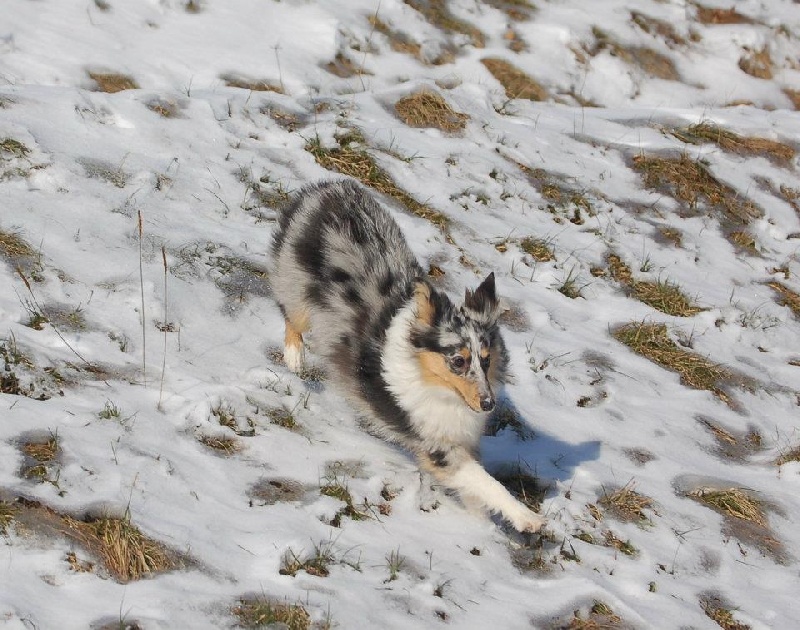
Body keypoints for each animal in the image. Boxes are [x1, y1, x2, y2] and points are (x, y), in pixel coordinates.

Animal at [272, 180, 548, 536]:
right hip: (298, 285)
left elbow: (475, 491)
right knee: (291, 314)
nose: (488, 404)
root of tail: (329, 188)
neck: (435, 384)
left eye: (486, 360)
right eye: (458, 361)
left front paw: (482, 527)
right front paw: (527, 518)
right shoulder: (437, 448)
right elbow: (487, 483)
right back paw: (295, 358)